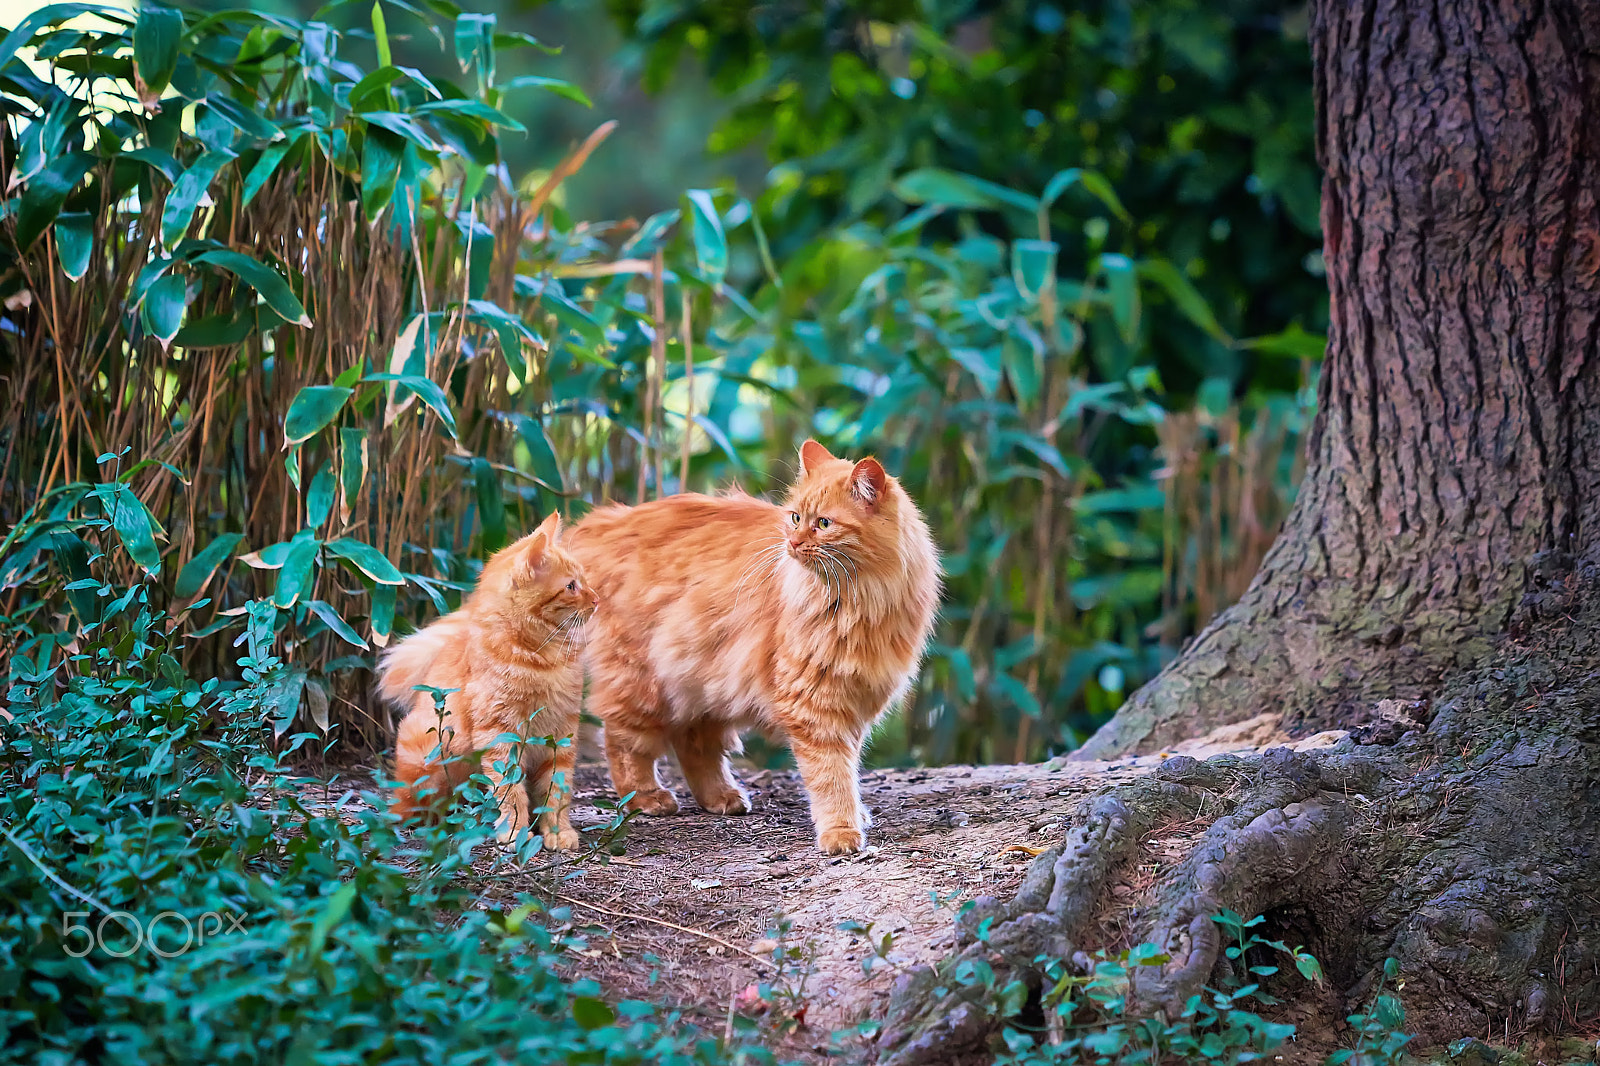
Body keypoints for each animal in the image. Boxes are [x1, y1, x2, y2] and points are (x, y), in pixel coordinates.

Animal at [380, 512, 601, 851]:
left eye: (583, 581)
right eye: (571, 586)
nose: (597, 599)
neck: (540, 656)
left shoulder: (560, 734)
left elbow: (556, 790)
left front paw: (556, 831)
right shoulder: (499, 732)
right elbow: (511, 793)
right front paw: (514, 833)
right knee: (409, 804)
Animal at [569, 435, 934, 851]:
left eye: (823, 523)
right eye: (795, 517)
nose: (792, 542)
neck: (860, 602)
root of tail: (606, 521)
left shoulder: (856, 698)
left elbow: (849, 768)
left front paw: (855, 816)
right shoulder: (815, 702)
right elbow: (832, 775)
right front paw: (840, 830)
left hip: (702, 678)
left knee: (694, 743)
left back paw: (720, 797)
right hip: (642, 681)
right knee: (623, 741)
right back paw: (647, 798)